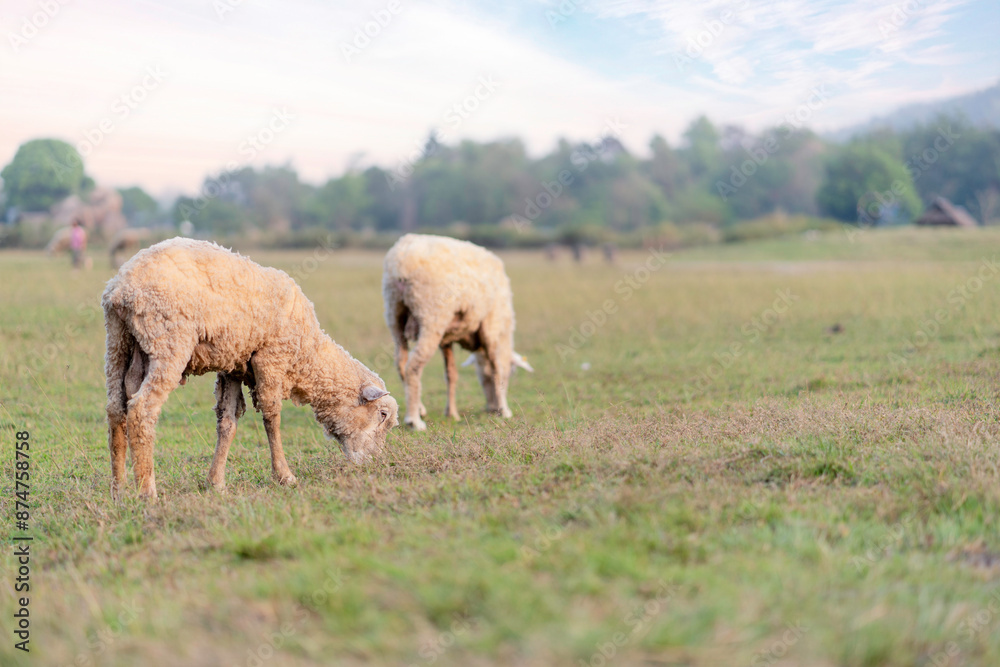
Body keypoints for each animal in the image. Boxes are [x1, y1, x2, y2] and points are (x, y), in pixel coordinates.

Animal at [102, 237, 398, 499]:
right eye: (382, 415)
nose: (373, 463)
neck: (308, 354)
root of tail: (121, 288)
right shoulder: (271, 358)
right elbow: (272, 416)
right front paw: (284, 476)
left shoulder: (233, 366)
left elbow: (227, 423)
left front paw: (216, 483)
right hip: (169, 341)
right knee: (142, 410)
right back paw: (146, 492)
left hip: (119, 343)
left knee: (117, 407)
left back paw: (119, 490)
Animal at [382, 233, 532, 430]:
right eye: (513, 373)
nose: (491, 408)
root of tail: (402, 258)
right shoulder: (491, 327)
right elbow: (497, 369)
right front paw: (504, 410)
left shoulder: (447, 339)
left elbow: (451, 374)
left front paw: (452, 414)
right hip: (432, 316)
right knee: (413, 366)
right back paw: (415, 420)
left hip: (395, 315)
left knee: (401, 362)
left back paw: (420, 409)